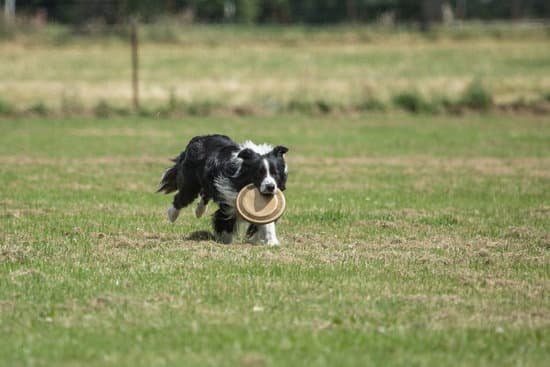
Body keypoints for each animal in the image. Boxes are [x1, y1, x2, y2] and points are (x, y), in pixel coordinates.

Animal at [158, 134, 288, 246]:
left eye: (275, 174)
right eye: (259, 173)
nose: (270, 187)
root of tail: (199, 138)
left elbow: (267, 220)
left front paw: (271, 242)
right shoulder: (228, 197)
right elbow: (225, 219)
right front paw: (225, 240)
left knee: (204, 194)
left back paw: (199, 211)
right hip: (191, 182)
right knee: (182, 197)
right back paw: (172, 214)